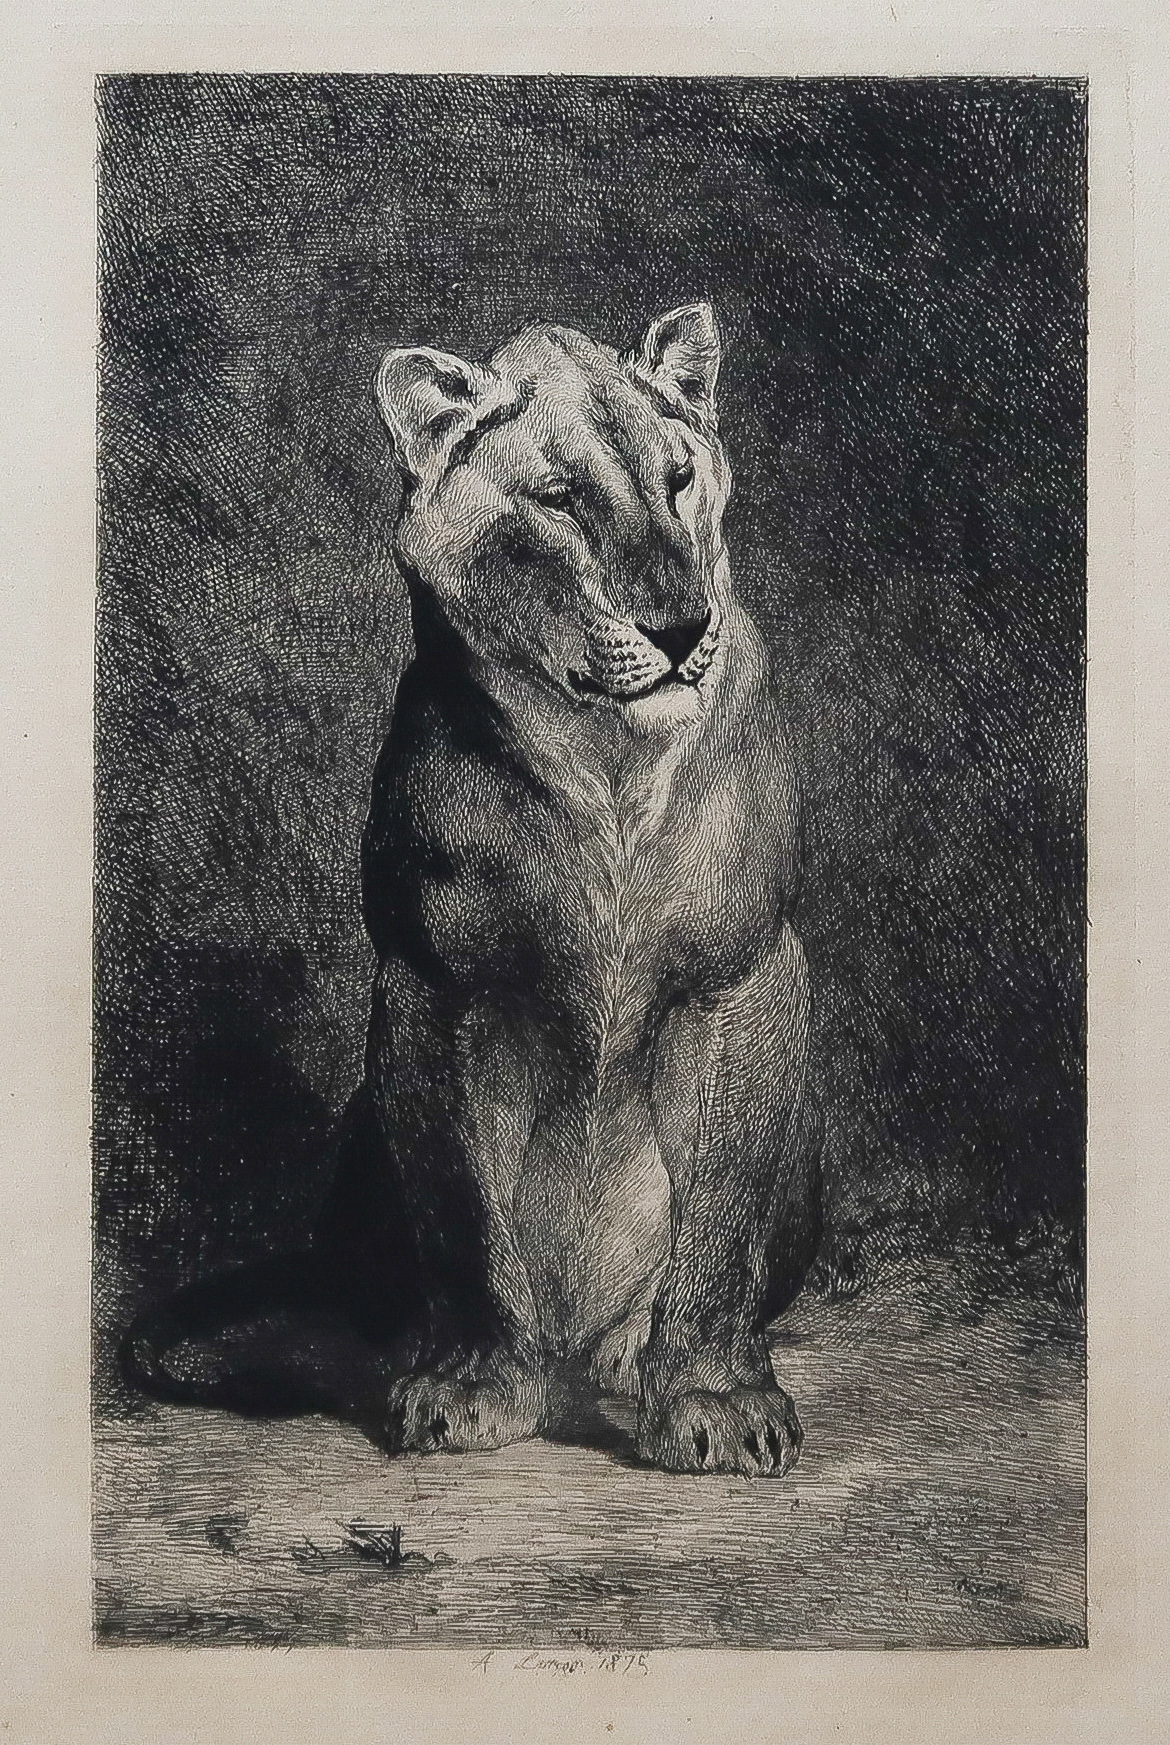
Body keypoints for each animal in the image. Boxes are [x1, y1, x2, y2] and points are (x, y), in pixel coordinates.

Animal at [122, 302, 822, 1478]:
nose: (681, 629)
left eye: (679, 479)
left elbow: (720, 1216)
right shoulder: (433, 989)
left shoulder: (744, 976)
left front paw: (717, 1401)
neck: (608, 759)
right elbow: (464, 1210)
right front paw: (472, 1389)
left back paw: (622, 1355)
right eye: (560, 500)